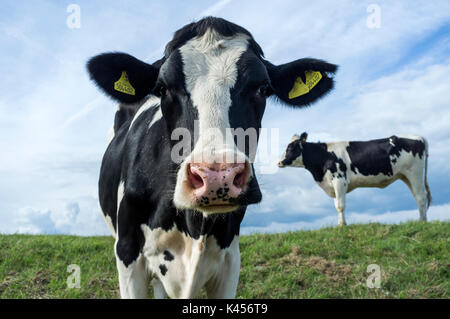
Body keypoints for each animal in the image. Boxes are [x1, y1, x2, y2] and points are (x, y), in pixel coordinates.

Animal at [86, 16, 338, 298]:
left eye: (263, 88)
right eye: (162, 88)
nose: (218, 176)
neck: (193, 228)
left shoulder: (230, 261)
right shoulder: (128, 253)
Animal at [278, 132, 432, 228]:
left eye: (291, 147)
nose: (279, 162)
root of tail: (418, 137)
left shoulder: (339, 180)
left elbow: (340, 205)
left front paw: (342, 226)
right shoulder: (333, 185)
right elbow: (336, 205)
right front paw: (340, 224)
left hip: (415, 173)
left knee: (421, 197)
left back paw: (422, 222)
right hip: (406, 176)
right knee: (417, 197)